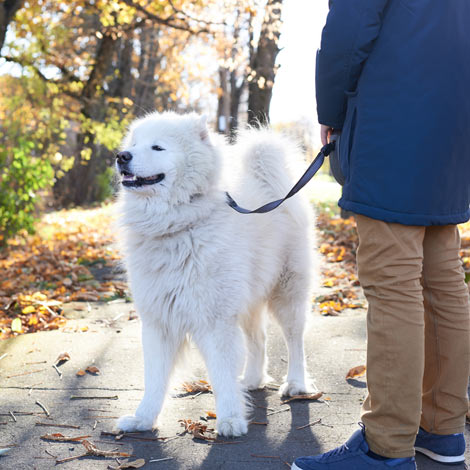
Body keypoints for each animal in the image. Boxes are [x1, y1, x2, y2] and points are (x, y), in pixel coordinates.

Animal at [115, 111, 318, 436]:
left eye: (157, 147)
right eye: (133, 145)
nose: (122, 156)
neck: (177, 225)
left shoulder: (215, 320)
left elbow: (221, 372)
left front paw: (230, 419)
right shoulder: (159, 321)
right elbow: (155, 378)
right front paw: (143, 419)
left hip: (287, 293)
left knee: (294, 340)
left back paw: (296, 384)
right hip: (247, 299)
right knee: (258, 339)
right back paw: (252, 380)